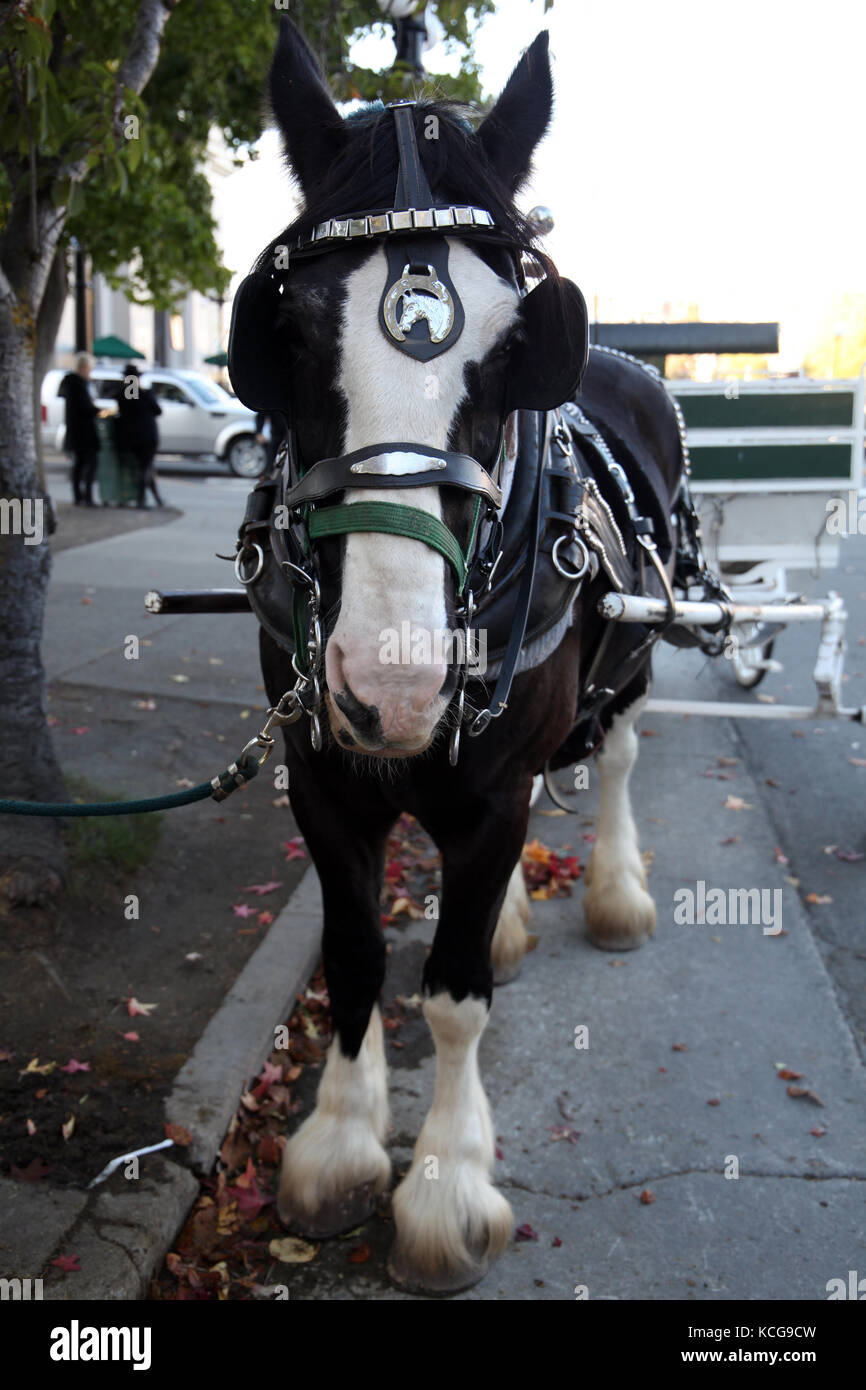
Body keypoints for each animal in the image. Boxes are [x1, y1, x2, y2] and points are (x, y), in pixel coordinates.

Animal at [232, 19, 683, 1289]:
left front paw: (441, 1187)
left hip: (629, 667)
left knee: (615, 760)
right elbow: (353, 958)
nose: (391, 684)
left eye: (517, 342)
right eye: (284, 332)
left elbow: (451, 993)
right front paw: (337, 1146)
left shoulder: (489, 795)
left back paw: (613, 891)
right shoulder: (327, 778)